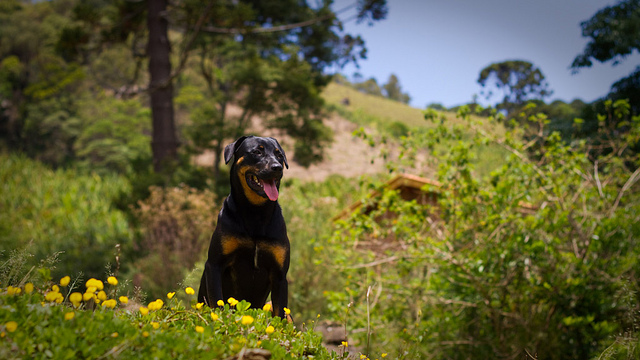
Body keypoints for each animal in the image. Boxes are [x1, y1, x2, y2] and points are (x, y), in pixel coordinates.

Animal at [199, 135, 292, 318]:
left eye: (279, 155)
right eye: (257, 152)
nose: (277, 167)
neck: (255, 211)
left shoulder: (280, 275)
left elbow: (280, 313)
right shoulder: (214, 265)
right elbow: (217, 302)